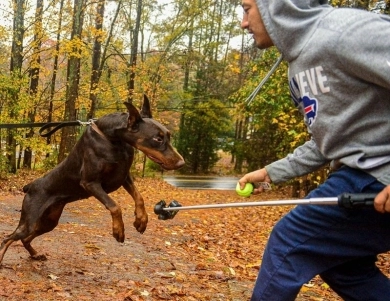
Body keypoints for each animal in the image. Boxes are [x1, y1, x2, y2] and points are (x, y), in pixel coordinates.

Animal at [0, 95, 185, 262]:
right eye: (157, 138)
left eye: (168, 135)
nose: (182, 163)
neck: (112, 138)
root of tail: (29, 186)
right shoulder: (90, 182)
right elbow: (114, 206)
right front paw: (118, 230)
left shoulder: (124, 175)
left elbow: (139, 197)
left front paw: (141, 220)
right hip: (29, 219)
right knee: (8, 238)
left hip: (49, 221)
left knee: (25, 238)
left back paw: (35, 254)